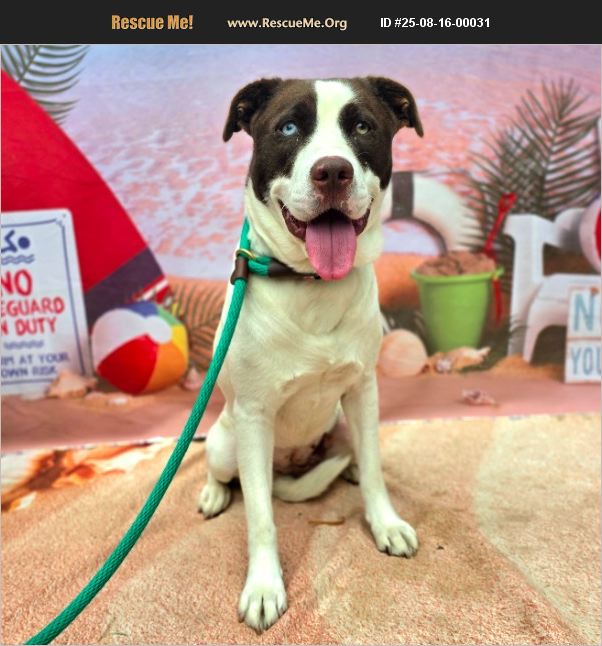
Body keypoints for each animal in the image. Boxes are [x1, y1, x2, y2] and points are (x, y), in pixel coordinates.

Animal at [198, 77, 423, 632]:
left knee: (359, 455)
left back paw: (350, 468)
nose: (333, 172)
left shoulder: (363, 390)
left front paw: (385, 523)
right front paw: (263, 587)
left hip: (341, 422)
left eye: (362, 126)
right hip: (227, 441)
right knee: (226, 474)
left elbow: (377, 474)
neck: (312, 283)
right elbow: (260, 518)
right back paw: (214, 493)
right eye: (288, 127)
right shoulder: (255, 415)